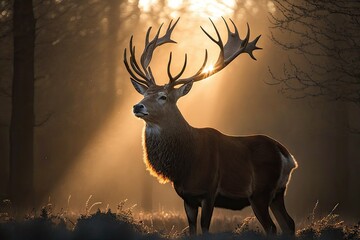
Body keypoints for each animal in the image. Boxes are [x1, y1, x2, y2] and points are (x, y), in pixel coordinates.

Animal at [124, 17, 298, 235]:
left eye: (163, 97)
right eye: (145, 94)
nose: (137, 106)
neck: (185, 162)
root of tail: (287, 156)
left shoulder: (209, 191)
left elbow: (205, 229)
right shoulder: (187, 197)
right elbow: (192, 230)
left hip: (261, 192)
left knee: (272, 227)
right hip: (278, 193)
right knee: (288, 223)